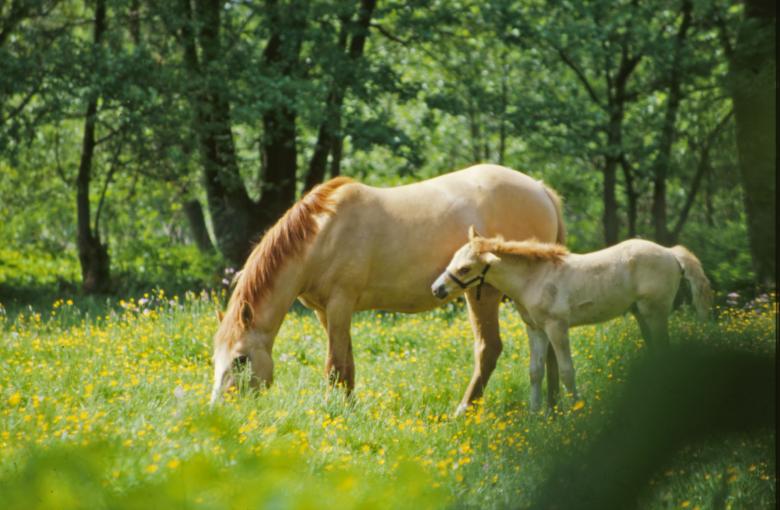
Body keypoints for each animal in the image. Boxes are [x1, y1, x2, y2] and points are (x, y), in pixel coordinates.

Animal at [210, 164, 566, 415]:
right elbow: (347, 364)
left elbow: (334, 366)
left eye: (240, 359)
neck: (322, 234)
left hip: (484, 294)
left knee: (488, 349)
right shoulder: (326, 312)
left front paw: (330, 411)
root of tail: (540, 189)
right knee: (549, 348)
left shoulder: (340, 304)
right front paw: (349, 410)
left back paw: (463, 410)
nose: (219, 410)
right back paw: (553, 407)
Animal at [431, 226, 713, 412]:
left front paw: (577, 410)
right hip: (641, 314)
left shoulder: (557, 327)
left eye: (465, 269)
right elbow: (535, 371)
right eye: (453, 259)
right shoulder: (535, 329)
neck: (534, 279)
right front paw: (535, 415)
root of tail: (670, 252)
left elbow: (567, 370)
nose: (437, 289)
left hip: (655, 312)